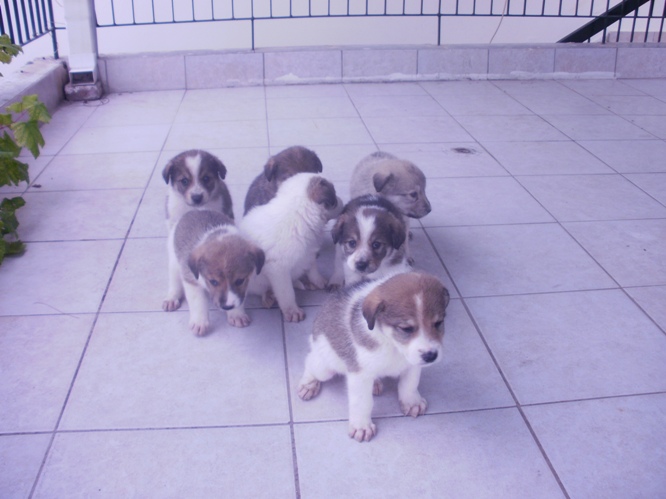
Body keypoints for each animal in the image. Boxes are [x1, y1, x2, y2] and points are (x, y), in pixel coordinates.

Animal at [239, 173, 342, 323]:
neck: (299, 214)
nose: (343, 203)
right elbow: (286, 292)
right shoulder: (278, 270)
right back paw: (268, 296)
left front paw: (318, 280)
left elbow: (313, 269)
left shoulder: (309, 252)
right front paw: (292, 310)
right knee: (262, 289)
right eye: (334, 196)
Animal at [298, 272, 450, 442]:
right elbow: (362, 402)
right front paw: (361, 426)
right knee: (310, 362)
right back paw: (309, 384)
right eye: (406, 328)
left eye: (438, 323)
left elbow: (409, 384)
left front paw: (412, 402)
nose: (431, 356)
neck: (392, 345)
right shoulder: (360, 374)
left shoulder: (413, 364)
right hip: (324, 366)